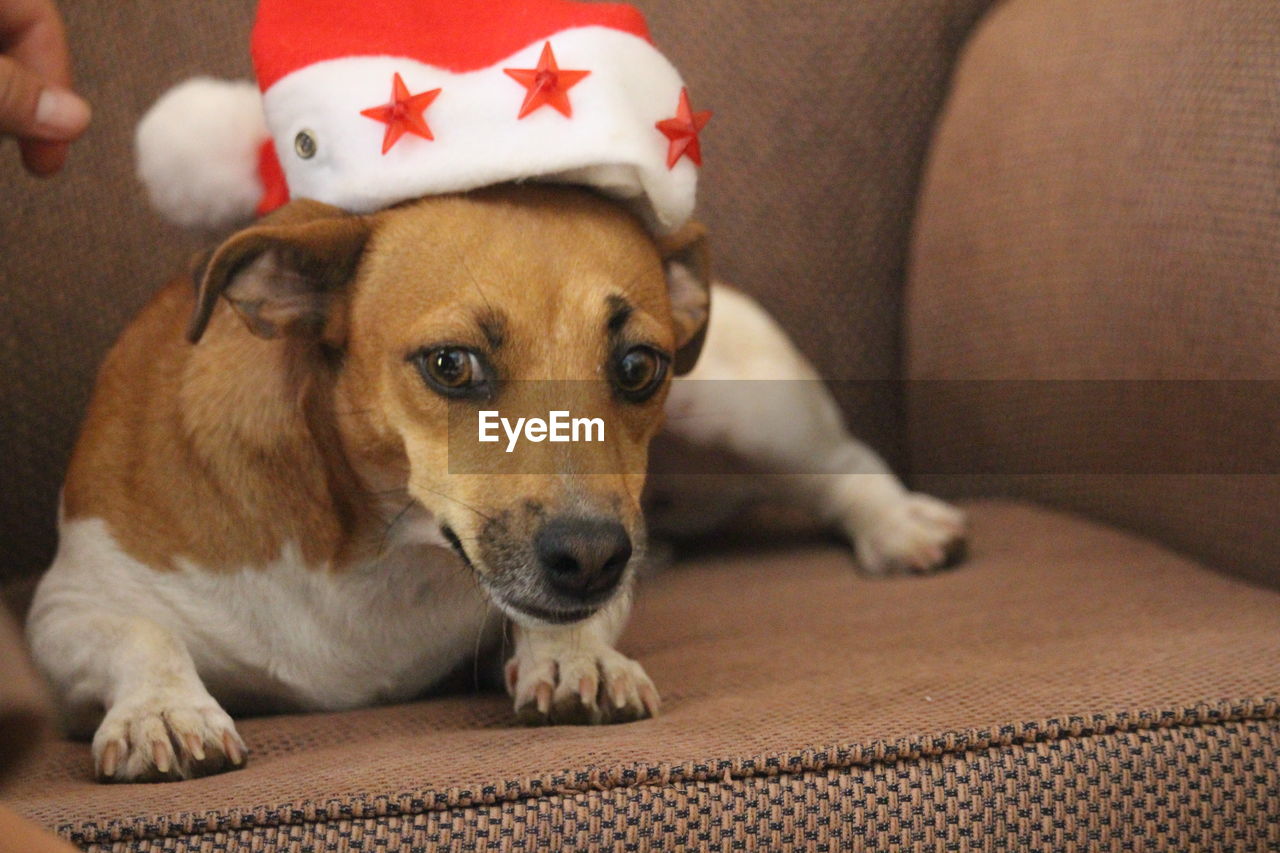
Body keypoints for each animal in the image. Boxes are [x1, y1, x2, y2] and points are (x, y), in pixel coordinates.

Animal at [24, 184, 962, 778]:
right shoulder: (66, 604)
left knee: (845, 464)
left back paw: (899, 526)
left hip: (751, 397)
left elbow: (568, 620)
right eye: (451, 364)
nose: (593, 556)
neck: (373, 549)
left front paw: (575, 656)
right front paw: (162, 709)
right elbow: (143, 634)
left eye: (638, 365)